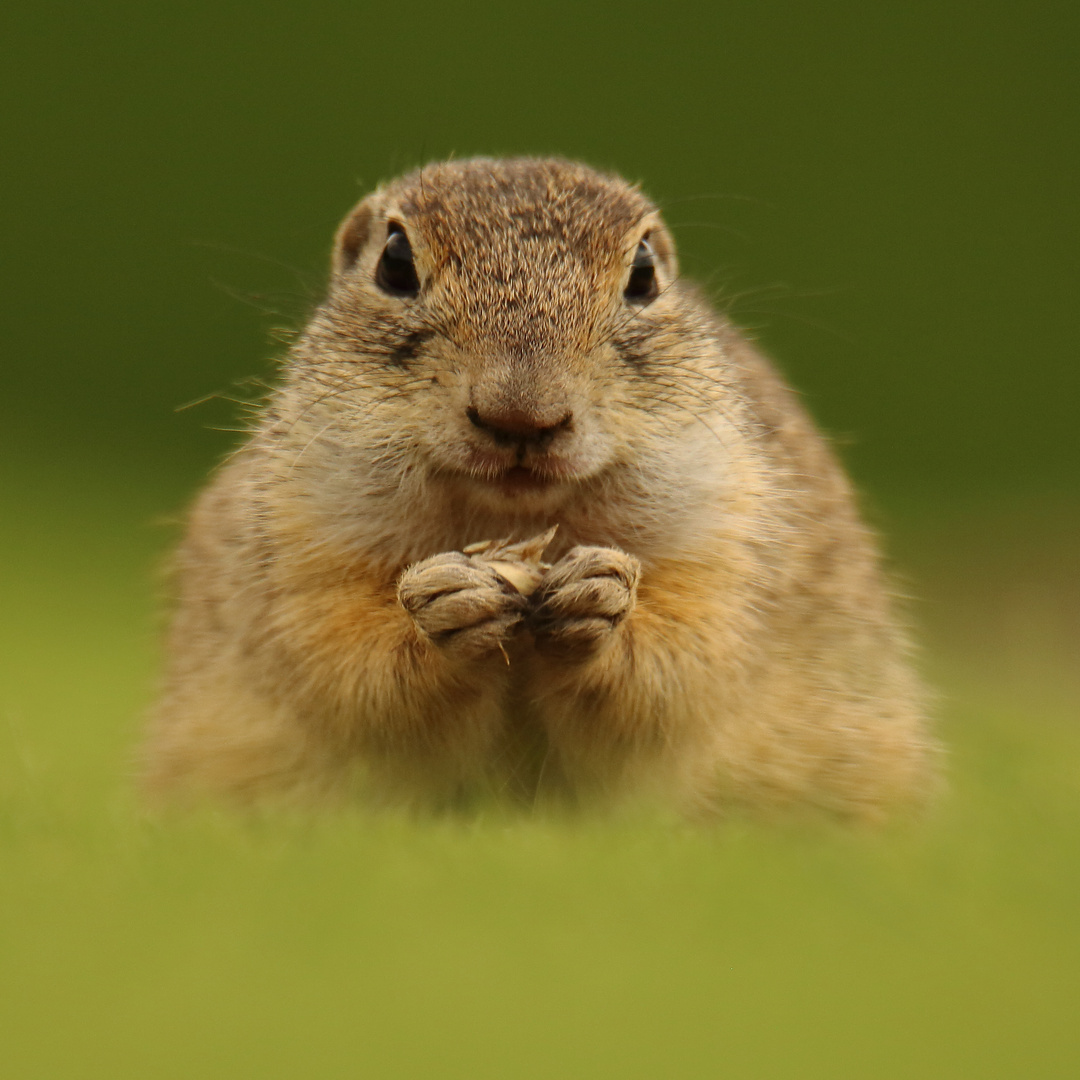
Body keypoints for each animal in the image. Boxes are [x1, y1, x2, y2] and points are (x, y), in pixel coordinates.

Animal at [143, 156, 937, 820]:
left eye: (644, 273)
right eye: (394, 262)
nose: (522, 415)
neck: (514, 515)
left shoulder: (726, 547)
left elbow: (679, 669)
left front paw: (600, 599)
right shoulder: (301, 550)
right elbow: (352, 669)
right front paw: (444, 607)